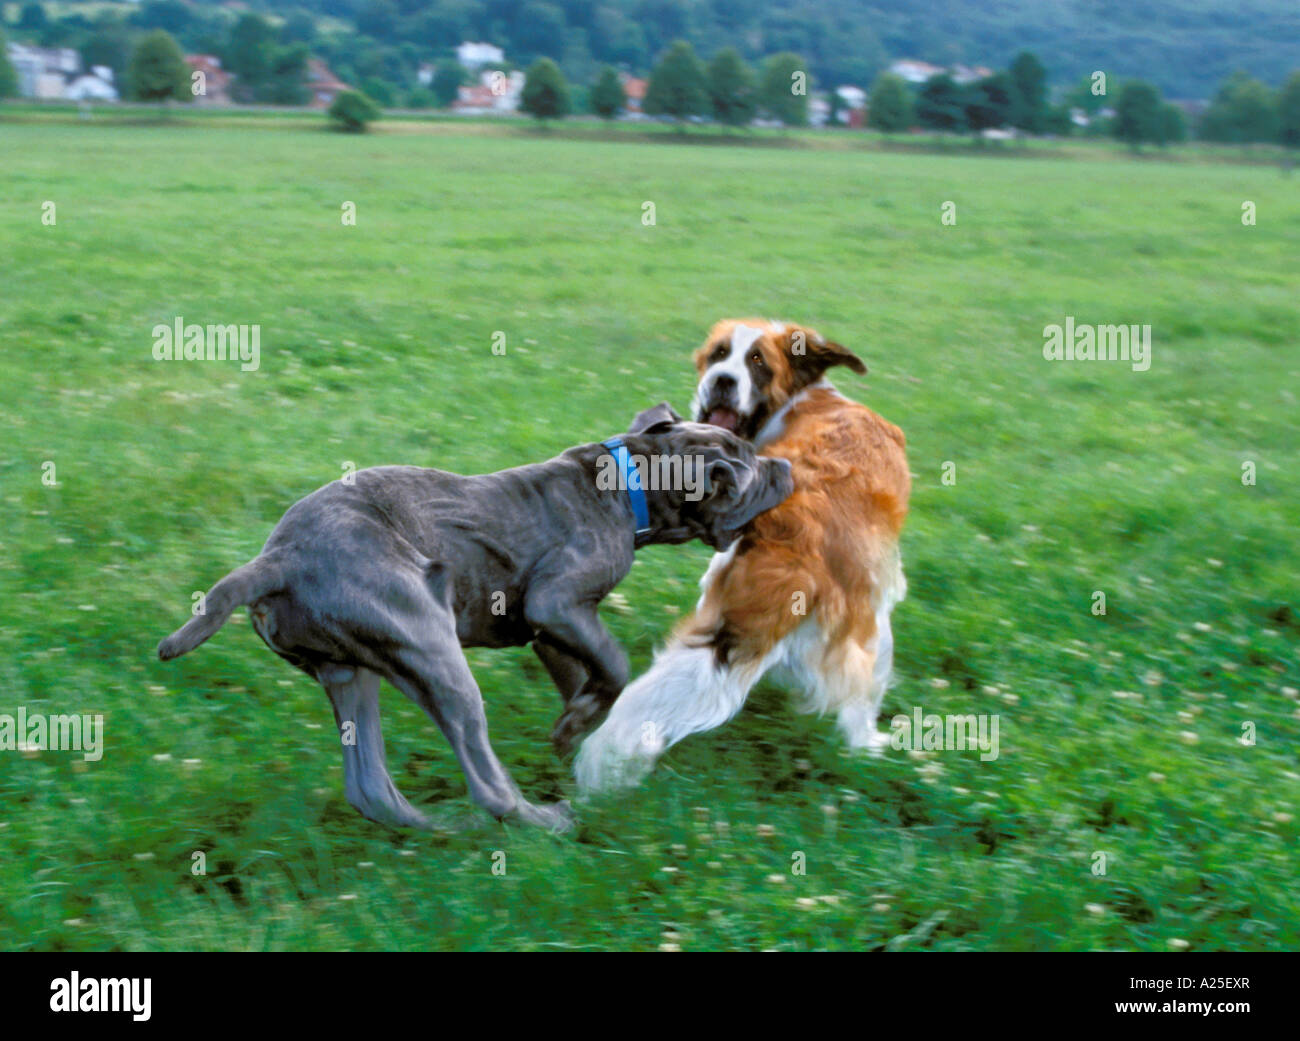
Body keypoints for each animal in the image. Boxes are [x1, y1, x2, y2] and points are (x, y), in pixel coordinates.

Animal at [158, 402, 795, 826]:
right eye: (748, 469)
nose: (786, 468)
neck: (629, 482)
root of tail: (278, 559)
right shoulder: (555, 601)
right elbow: (613, 664)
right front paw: (575, 731)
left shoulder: (554, 629)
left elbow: (588, 679)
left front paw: (576, 737)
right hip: (426, 642)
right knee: (485, 782)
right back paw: (544, 823)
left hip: (352, 670)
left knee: (371, 789)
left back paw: (448, 831)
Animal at [574, 317, 909, 790]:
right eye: (719, 354)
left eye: (757, 362)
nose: (722, 381)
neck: (805, 401)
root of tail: (797, 532)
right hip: (870, 627)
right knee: (862, 694)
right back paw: (869, 746)